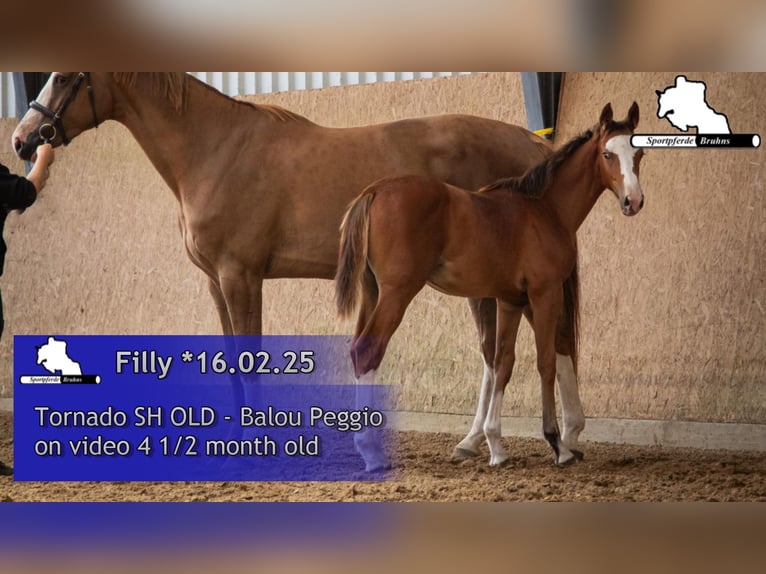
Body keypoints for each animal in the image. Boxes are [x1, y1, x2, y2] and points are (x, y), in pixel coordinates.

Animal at [12, 72, 578, 470]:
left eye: (64, 77)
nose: (22, 140)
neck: (215, 150)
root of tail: (532, 141)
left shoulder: (241, 276)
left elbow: (249, 359)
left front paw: (256, 439)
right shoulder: (216, 283)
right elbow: (231, 361)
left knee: (523, 346)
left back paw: (544, 439)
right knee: (516, 347)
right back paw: (491, 441)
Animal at [336, 102, 645, 468]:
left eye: (639, 152)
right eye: (607, 154)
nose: (632, 201)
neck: (545, 209)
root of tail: (375, 190)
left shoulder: (510, 300)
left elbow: (502, 363)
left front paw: (496, 446)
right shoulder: (544, 293)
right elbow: (545, 361)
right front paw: (557, 444)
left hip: (372, 292)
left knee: (358, 350)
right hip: (397, 293)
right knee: (368, 350)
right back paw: (371, 452)